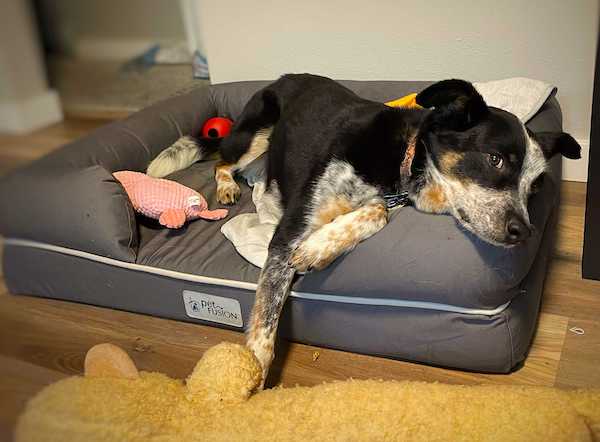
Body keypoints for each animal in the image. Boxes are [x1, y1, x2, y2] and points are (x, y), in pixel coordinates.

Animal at [146, 74, 580, 386]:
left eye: (534, 186)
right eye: (495, 160)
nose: (524, 232)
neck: (405, 155)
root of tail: (282, 76)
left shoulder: (382, 201)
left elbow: (377, 212)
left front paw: (318, 248)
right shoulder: (286, 233)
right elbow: (264, 330)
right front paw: (248, 383)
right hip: (256, 133)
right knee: (221, 161)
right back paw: (227, 186)